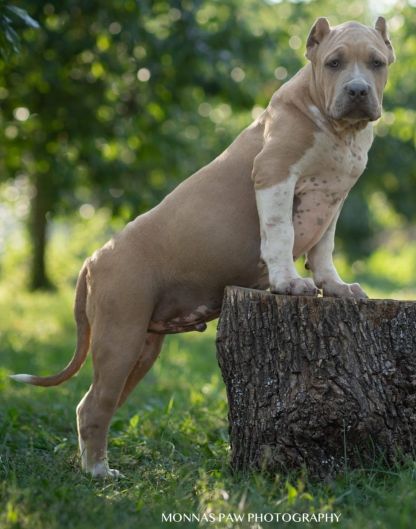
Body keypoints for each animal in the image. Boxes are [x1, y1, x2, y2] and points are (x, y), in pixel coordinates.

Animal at [9, 17, 394, 478]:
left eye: (376, 63)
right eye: (334, 62)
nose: (357, 90)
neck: (338, 131)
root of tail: (93, 259)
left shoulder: (334, 199)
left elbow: (323, 249)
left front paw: (335, 288)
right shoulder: (274, 174)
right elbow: (280, 233)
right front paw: (287, 283)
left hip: (141, 347)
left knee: (96, 403)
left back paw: (90, 465)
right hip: (119, 335)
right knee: (95, 405)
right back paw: (99, 473)